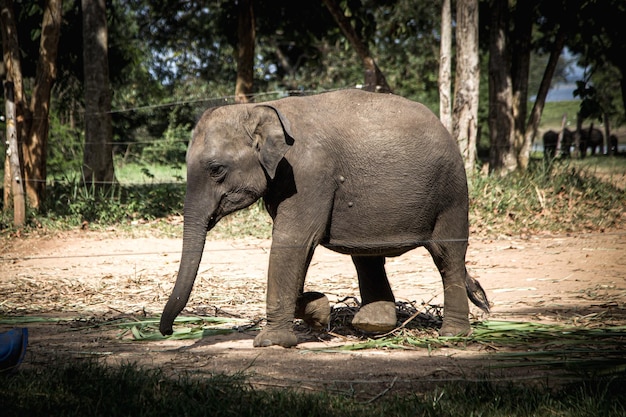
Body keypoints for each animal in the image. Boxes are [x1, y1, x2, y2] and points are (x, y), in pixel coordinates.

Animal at [158, 89, 490, 346]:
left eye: (216, 169)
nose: (168, 331)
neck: (262, 108)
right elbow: (298, 249)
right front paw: (318, 311)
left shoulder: (308, 172)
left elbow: (293, 241)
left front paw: (272, 342)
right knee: (367, 255)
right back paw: (372, 324)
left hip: (452, 191)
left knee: (447, 255)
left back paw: (452, 335)